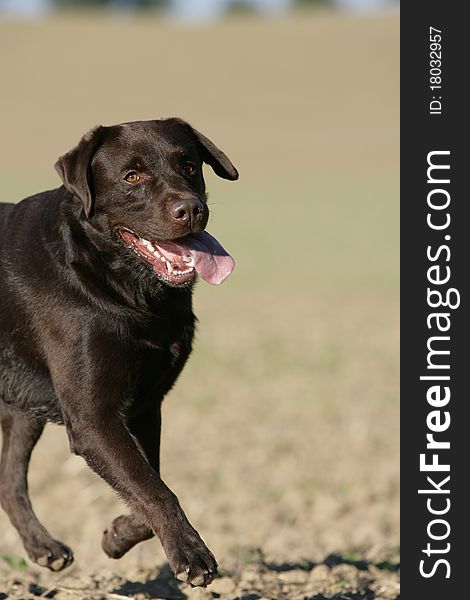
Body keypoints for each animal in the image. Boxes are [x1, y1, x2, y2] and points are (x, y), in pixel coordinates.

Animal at [0, 119, 239, 588]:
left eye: (189, 165)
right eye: (132, 176)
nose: (191, 210)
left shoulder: (146, 406)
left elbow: (149, 481)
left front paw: (117, 535)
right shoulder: (93, 418)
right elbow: (153, 488)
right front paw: (191, 553)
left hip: (23, 407)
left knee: (9, 478)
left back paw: (43, 547)